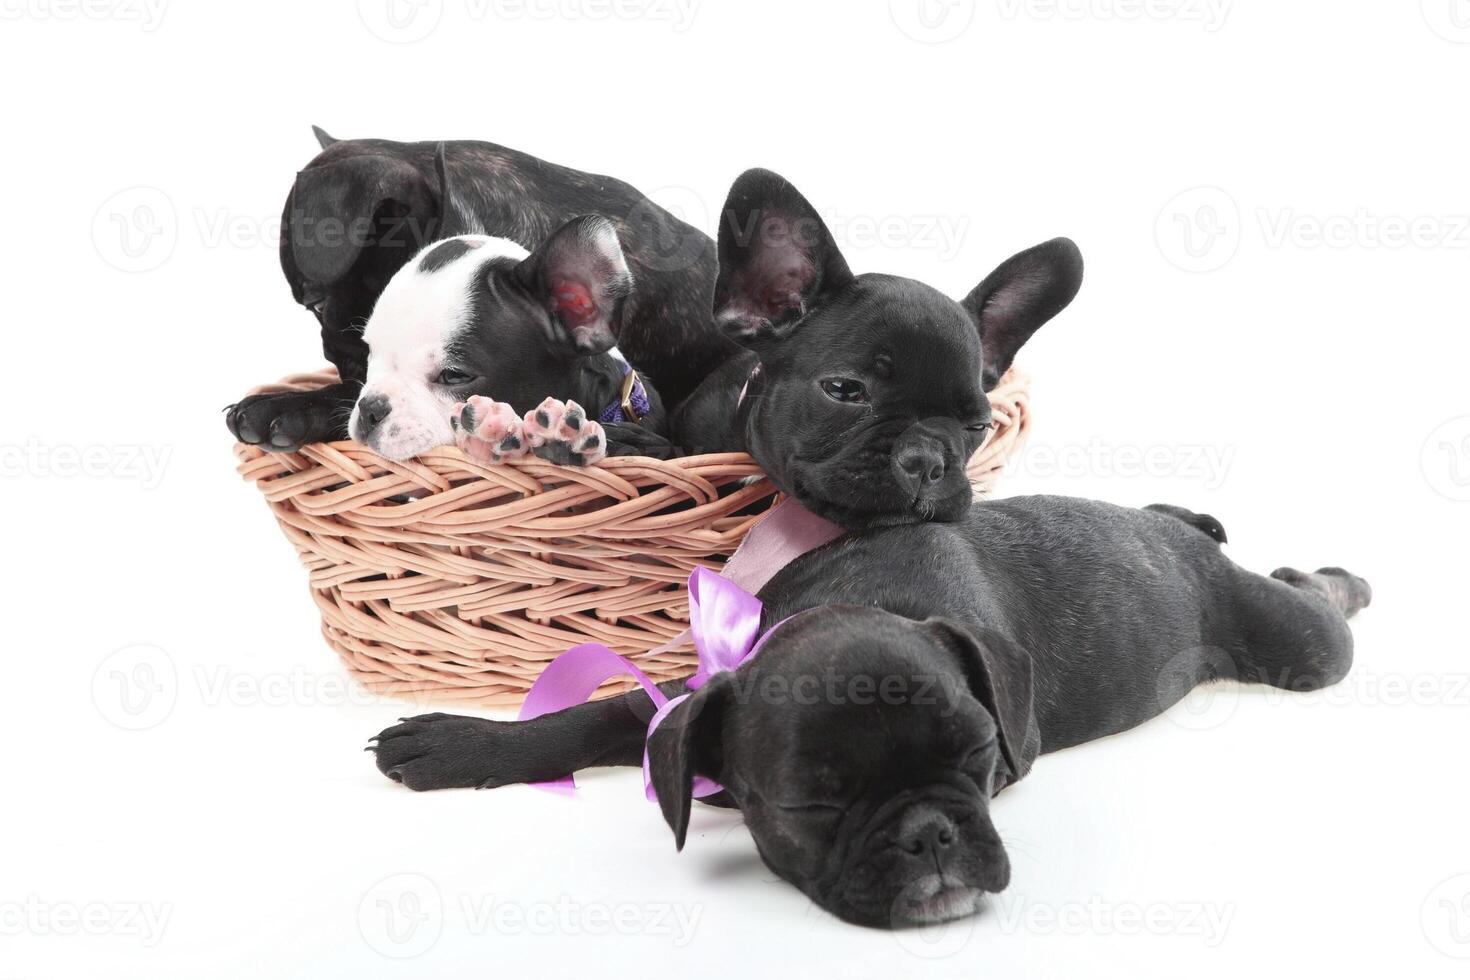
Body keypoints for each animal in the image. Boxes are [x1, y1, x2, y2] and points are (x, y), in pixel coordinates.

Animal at [364, 502, 1364, 934]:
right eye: (813, 804)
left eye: (983, 758)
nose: (930, 834)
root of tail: (1184, 544)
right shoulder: (690, 694)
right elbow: (595, 715)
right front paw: (461, 742)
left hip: (1300, 645)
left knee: (1316, 604)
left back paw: (1333, 574)